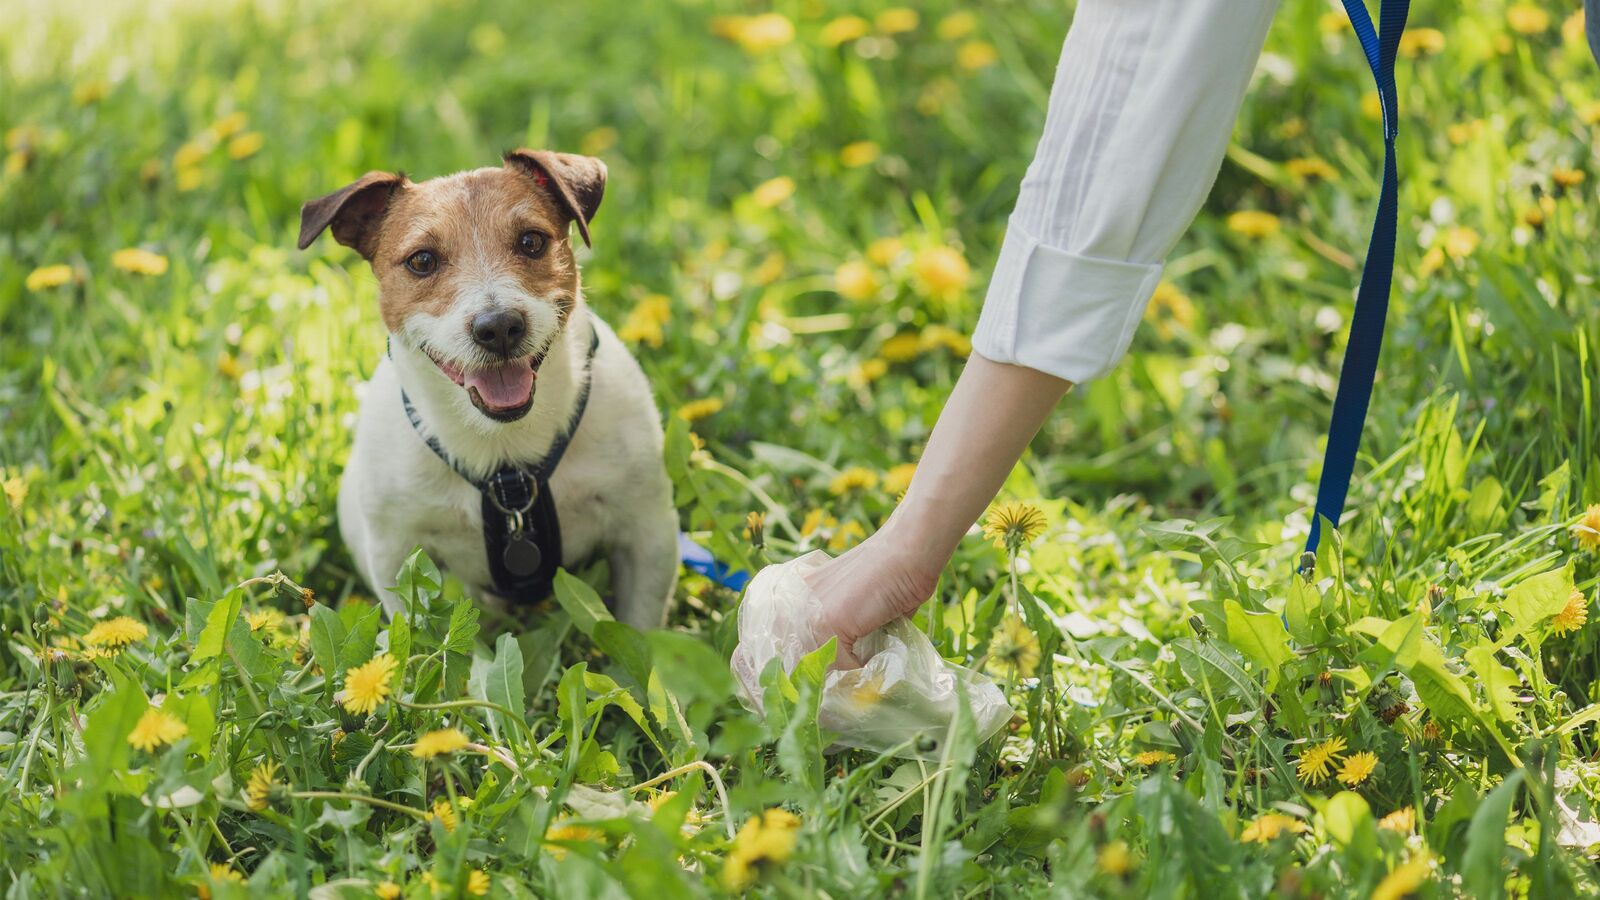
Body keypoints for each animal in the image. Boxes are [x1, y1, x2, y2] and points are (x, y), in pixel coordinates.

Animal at [299, 147, 675, 627]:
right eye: (422, 260)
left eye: (531, 241)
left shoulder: (647, 533)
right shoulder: (396, 554)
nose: (498, 328)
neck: (504, 452)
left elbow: (640, 629)